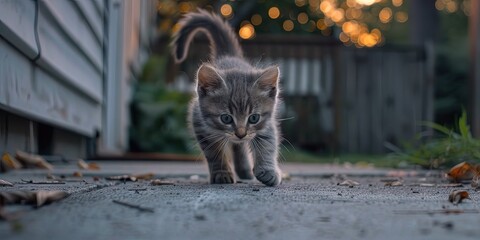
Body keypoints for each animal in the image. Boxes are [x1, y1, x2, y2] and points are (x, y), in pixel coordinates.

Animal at [172, 10, 284, 187]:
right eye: (226, 118)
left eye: (254, 118)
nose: (241, 134)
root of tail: (228, 57)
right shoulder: (200, 123)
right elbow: (214, 152)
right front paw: (221, 173)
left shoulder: (266, 124)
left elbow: (267, 144)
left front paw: (268, 171)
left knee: (239, 147)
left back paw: (244, 170)